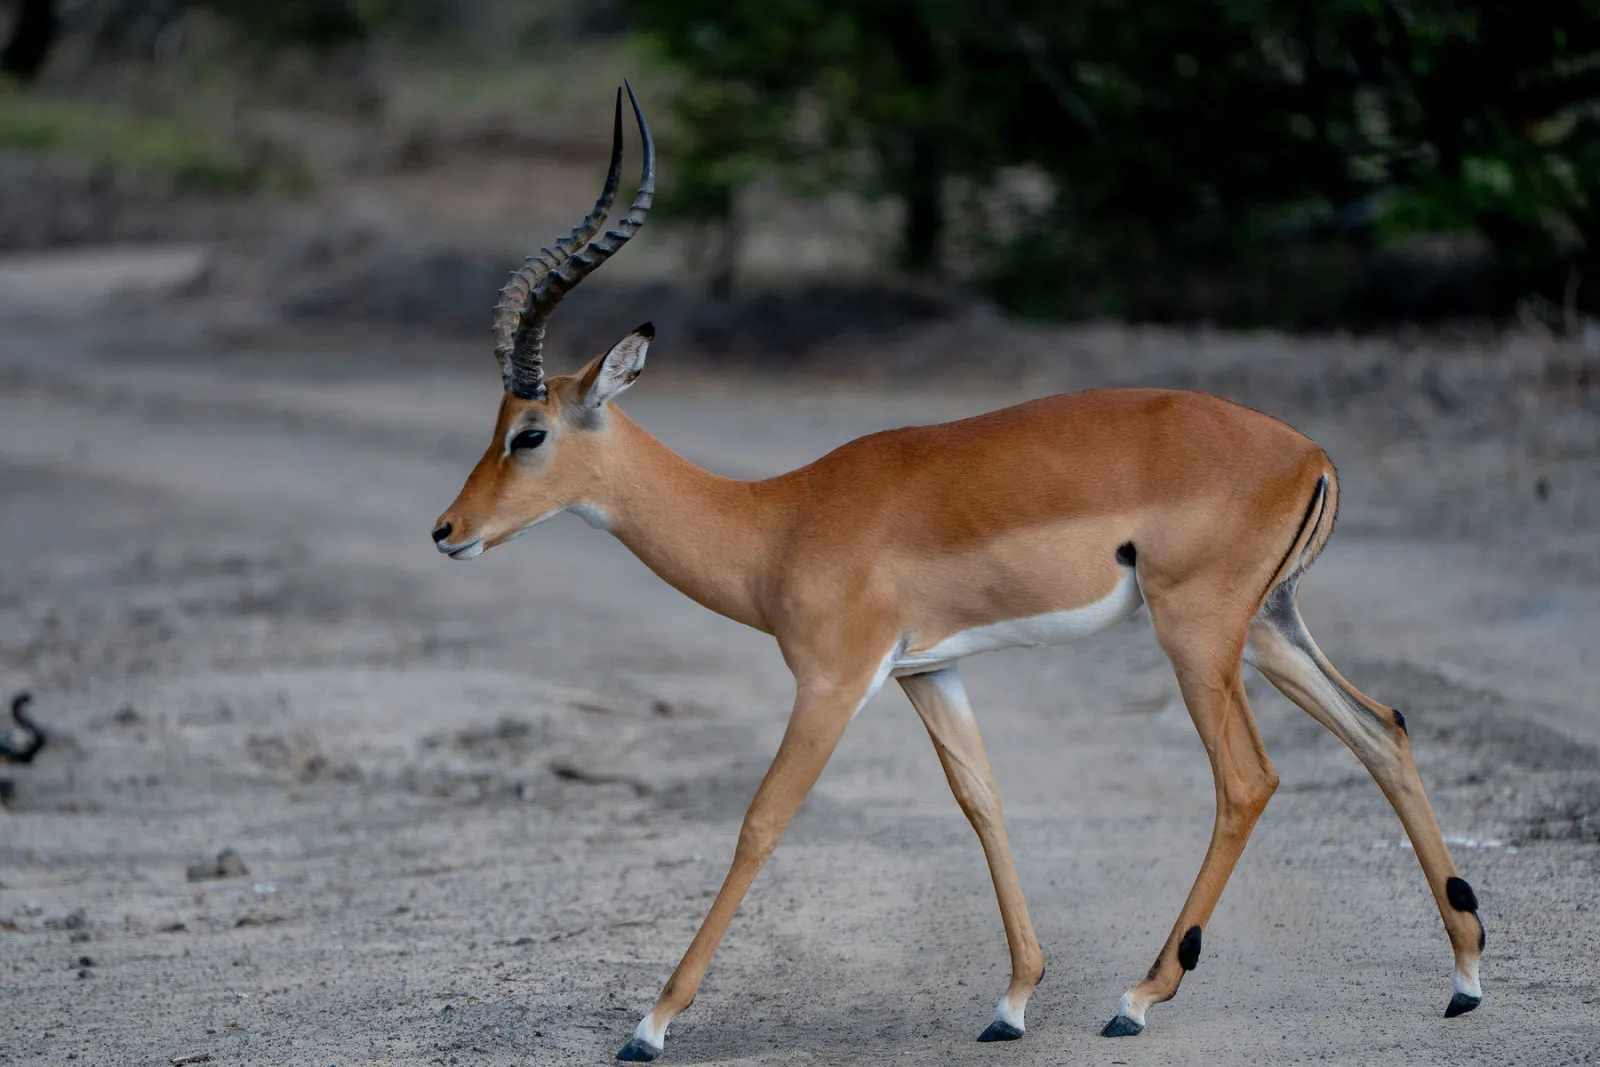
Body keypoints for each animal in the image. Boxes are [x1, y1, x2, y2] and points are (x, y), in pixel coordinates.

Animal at [432, 85, 1486, 1062]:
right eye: (496, 425)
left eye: (530, 432)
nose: (447, 531)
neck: (778, 520)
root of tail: (1310, 452)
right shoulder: (930, 671)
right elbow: (983, 801)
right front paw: (1012, 1001)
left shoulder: (832, 681)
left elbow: (762, 819)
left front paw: (649, 1023)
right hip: (1270, 626)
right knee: (1382, 729)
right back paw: (1465, 978)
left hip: (1198, 632)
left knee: (1249, 777)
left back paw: (1138, 996)